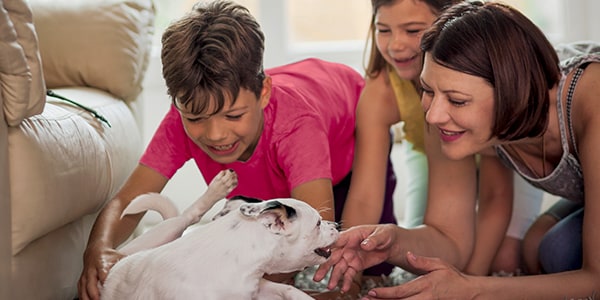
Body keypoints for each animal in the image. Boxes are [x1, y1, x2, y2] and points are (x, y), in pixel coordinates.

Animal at [101, 170, 340, 298]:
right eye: (318, 223)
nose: (337, 225)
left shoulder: (258, 289)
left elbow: (290, 291)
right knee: (185, 216)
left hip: (168, 230)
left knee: (187, 216)